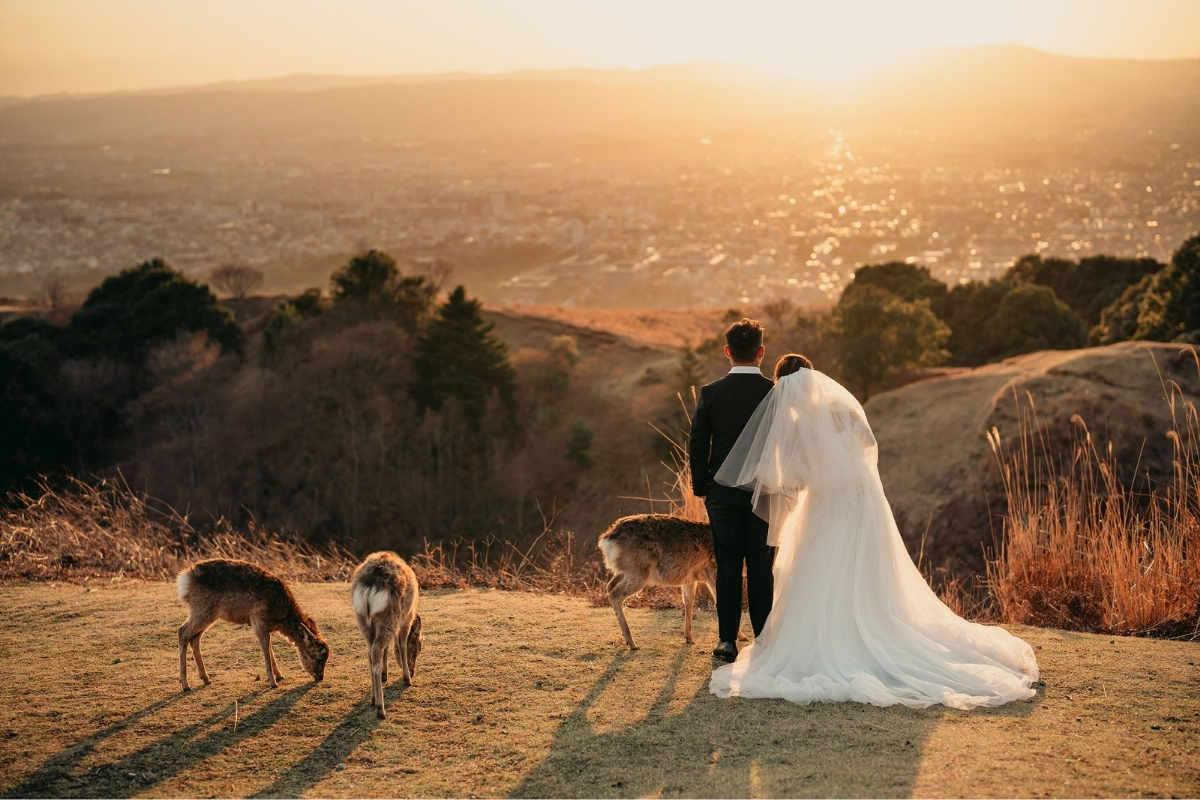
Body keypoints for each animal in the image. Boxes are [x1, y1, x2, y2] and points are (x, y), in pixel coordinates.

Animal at [175, 556, 331, 695]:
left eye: (326, 658)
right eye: (318, 658)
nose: (320, 677)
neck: (281, 617)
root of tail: (184, 579)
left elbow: (269, 647)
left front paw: (279, 675)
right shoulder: (258, 618)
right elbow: (265, 646)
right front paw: (272, 682)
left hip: (207, 613)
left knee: (194, 638)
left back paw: (206, 678)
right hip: (203, 609)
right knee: (182, 631)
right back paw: (185, 684)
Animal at [348, 551, 422, 719]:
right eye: (419, 647)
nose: (413, 672)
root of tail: (370, 584)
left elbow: (387, 648)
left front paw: (385, 674)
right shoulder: (406, 619)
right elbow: (401, 643)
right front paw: (407, 679)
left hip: (363, 620)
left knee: (371, 652)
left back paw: (373, 698)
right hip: (391, 615)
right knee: (376, 650)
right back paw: (380, 708)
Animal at [597, 513, 715, 652]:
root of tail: (607, 540)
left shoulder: (689, 579)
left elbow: (688, 602)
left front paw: (689, 638)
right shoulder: (712, 572)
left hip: (625, 571)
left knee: (610, 586)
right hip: (638, 572)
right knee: (615, 594)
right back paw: (632, 644)